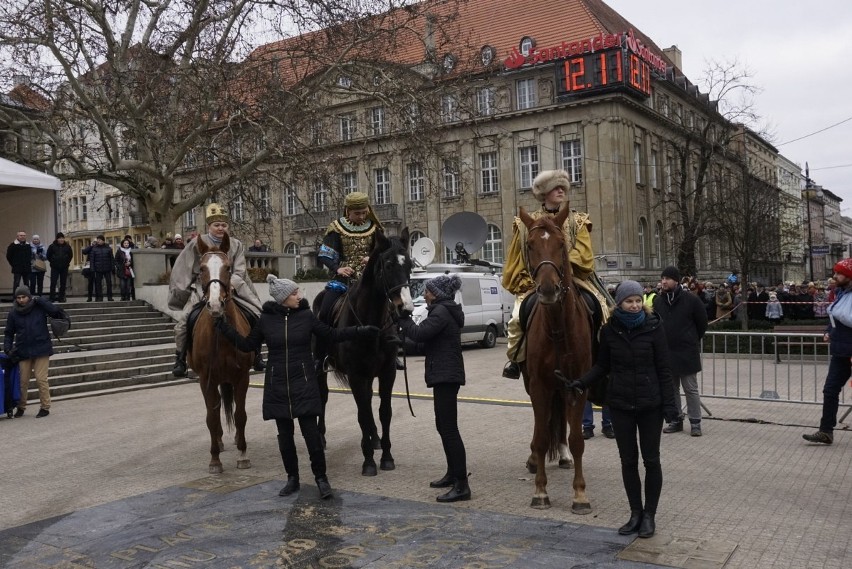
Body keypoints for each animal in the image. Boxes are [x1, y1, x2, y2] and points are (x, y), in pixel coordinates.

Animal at [186, 233, 253, 472]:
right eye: (202, 268)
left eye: (228, 267)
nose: (215, 305)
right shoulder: (206, 379)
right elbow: (211, 418)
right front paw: (214, 459)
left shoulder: (242, 377)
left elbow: (240, 415)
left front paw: (243, 454)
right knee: (214, 412)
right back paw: (220, 441)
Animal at [316, 229, 416, 478]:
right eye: (388, 265)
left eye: (409, 265)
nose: (406, 309)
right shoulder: (355, 375)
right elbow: (362, 414)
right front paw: (368, 461)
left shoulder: (387, 372)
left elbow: (383, 412)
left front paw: (386, 456)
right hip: (321, 368)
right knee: (323, 397)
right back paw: (321, 436)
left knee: (369, 402)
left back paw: (375, 438)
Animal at [516, 206, 596, 512]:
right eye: (529, 245)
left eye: (561, 244)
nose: (548, 290)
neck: (558, 328)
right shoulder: (539, 385)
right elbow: (540, 438)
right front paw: (540, 491)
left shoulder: (579, 384)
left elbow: (577, 439)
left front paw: (580, 494)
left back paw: (562, 454)